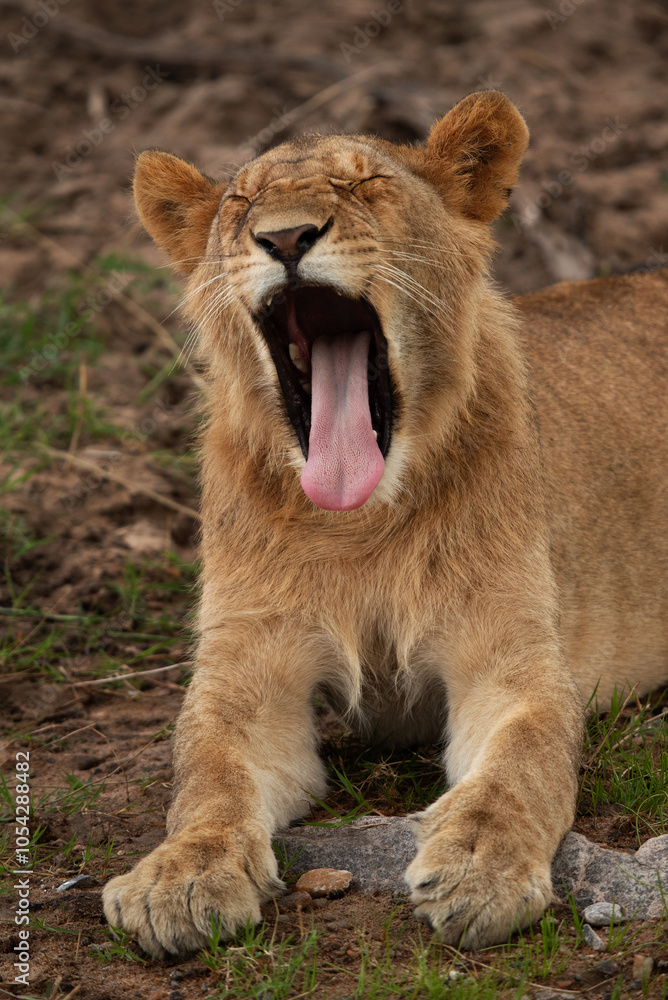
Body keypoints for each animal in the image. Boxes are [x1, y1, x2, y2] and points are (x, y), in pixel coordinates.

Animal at [102, 91, 668, 957]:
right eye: (240, 204)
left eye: (366, 182)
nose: (285, 238)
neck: (357, 526)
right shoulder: (247, 672)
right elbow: (208, 777)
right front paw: (182, 875)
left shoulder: (511, 658)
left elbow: (522, 765)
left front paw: (479, 866)